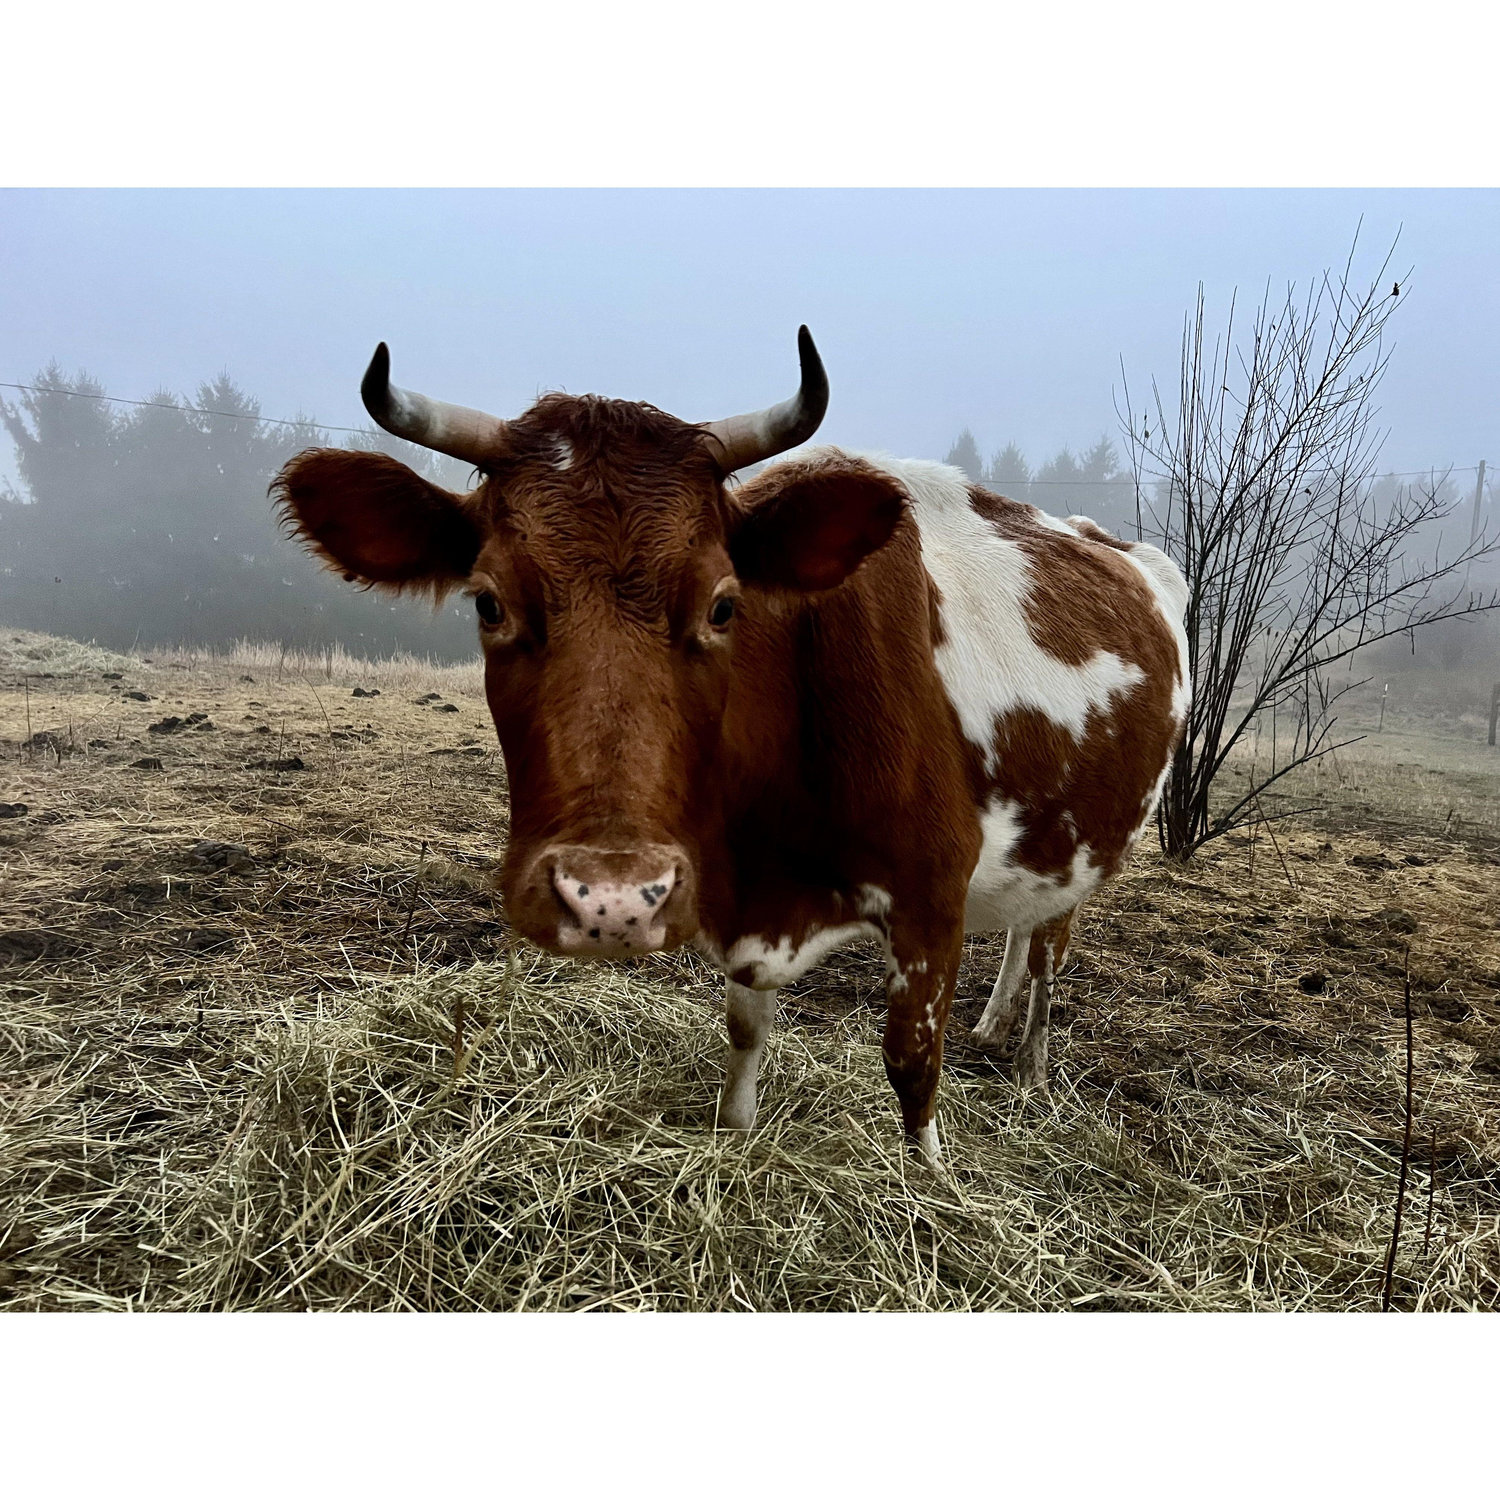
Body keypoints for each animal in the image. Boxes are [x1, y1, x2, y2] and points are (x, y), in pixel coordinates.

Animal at [275, 329, 1189, 1166]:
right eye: (487, 601)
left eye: (722, 604)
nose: (610, 900)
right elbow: (745, 1035)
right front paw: (737, 1141)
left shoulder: (932, 897)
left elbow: (912, 1067)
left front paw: (930, 1184)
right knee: (1023, 934)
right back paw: (996, 1023)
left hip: (1087, 843)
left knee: (1049, 954)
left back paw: (1031, 1063)